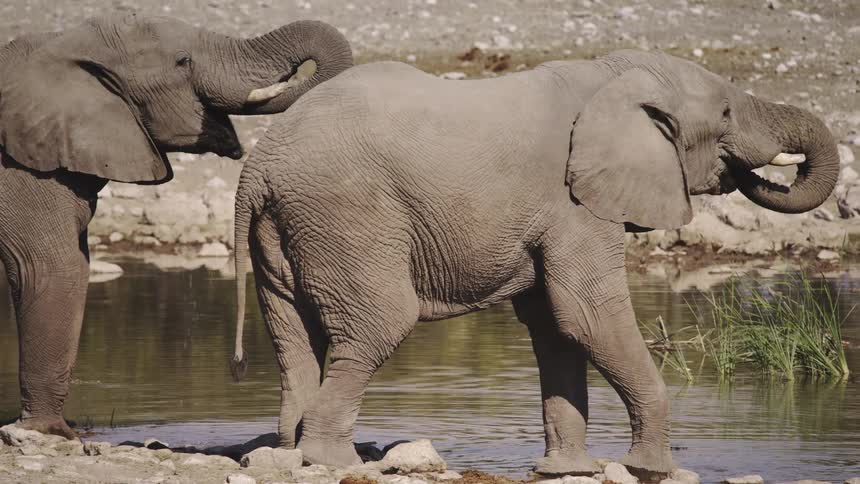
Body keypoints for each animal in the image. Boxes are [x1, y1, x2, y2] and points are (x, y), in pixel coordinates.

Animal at [0, 12, 352, 439]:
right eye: (183, 61)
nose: (238, 366)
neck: (59, 44)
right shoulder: (22, 170)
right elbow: (52, 267)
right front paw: (51, 431)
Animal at [229, 49, 839, 476]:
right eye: (727, 113)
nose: (758, 170)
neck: (612, 74)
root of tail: (258, 166)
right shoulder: (573, 204)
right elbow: (587, 315)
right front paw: (655, 471)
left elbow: (555, 326)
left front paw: (567, 471)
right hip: (347, 217)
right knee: (380, 324)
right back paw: (336, 462)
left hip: (287, 231)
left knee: (295, 339)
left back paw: (289, 453)